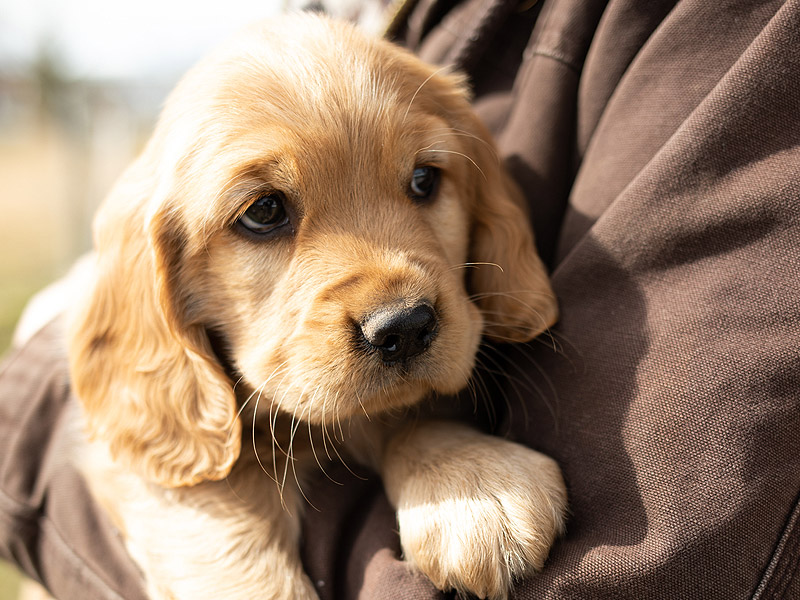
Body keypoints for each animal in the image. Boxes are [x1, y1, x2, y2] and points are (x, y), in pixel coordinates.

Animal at [65, 14, 564, 600]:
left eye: (424, 179)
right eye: (263, 211)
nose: (405, 327)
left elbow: (406, 413)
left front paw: (479, 485)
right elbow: (222, 508)